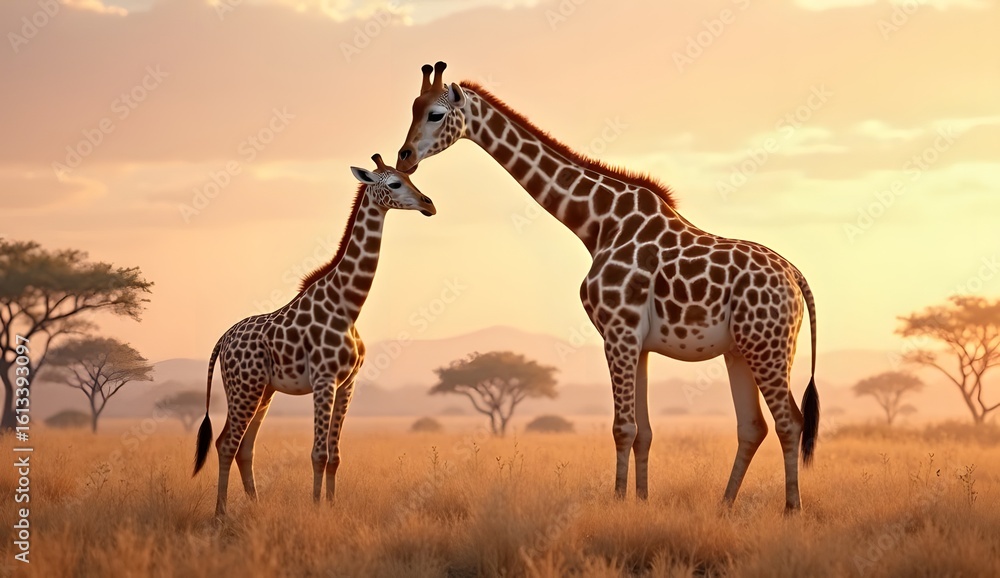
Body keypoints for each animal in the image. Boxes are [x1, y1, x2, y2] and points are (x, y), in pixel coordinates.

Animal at [192, 154, 436, 517]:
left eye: (410, 177)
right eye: (394, 183)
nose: (428, 204)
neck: (349, 306)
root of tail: (223, 340)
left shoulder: (348, 383)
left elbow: (335, 456)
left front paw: (331, 506)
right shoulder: (324, 379)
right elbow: (318, 453)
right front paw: (317, 507)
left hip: (263, 391)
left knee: (245, 447)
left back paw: (256, 505)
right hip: (244, 387)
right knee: (227, 443)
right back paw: (221, 513)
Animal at [395, 62, 820, 511]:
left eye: (435, 114)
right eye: (413, 108)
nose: (405, 157)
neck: (598, 224)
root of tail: (795, 275)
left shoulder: (618, 332)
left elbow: (623, 428)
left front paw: (618, 500)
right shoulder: (640, 342)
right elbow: (644, 430)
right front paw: (642, 501)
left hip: (767, 345)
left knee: (790, 421)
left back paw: (791, 508)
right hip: (740, 350)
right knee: (753, 426)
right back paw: (723, 507)